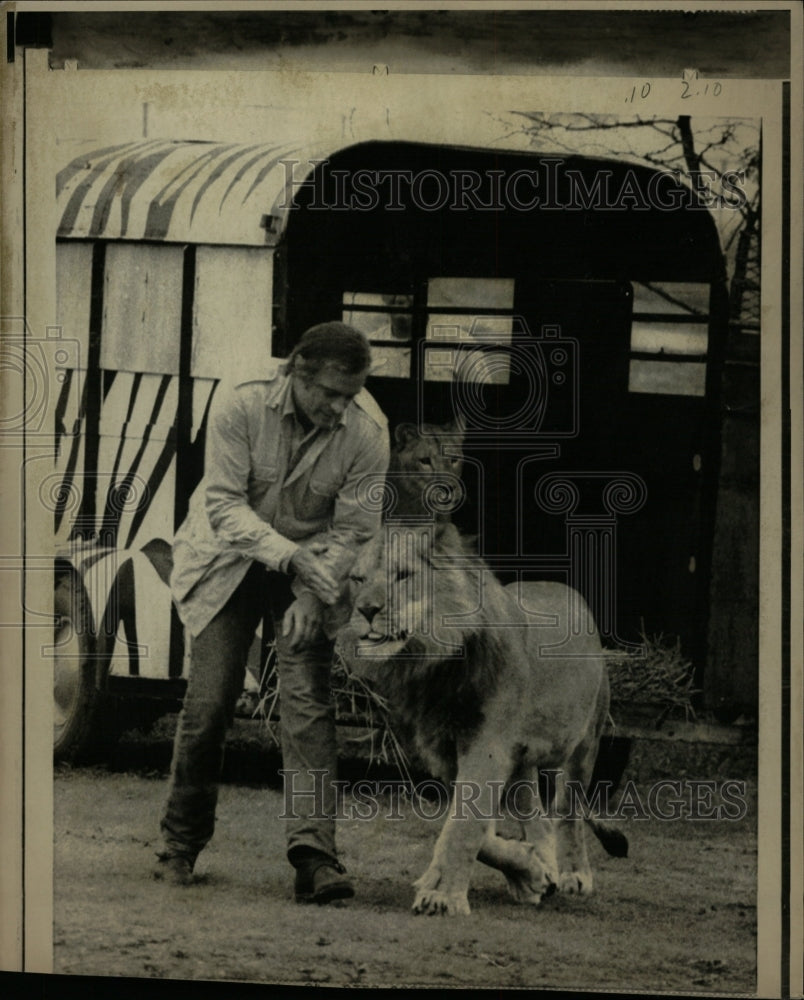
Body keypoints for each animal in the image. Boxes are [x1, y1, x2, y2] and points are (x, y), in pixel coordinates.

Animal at [336, 520, 624, 916]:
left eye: (404, 575)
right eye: (358, 579)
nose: (366, 609)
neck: (433, 665)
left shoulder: (488, 745)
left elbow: (463, 827)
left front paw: (441, 897)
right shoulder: (446, 753)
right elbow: (477, 829)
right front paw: (530, 872)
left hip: (585, 740)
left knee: (568, 809)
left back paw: (573, 875)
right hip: (523, 761)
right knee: (536, 814)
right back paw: (544, 869)